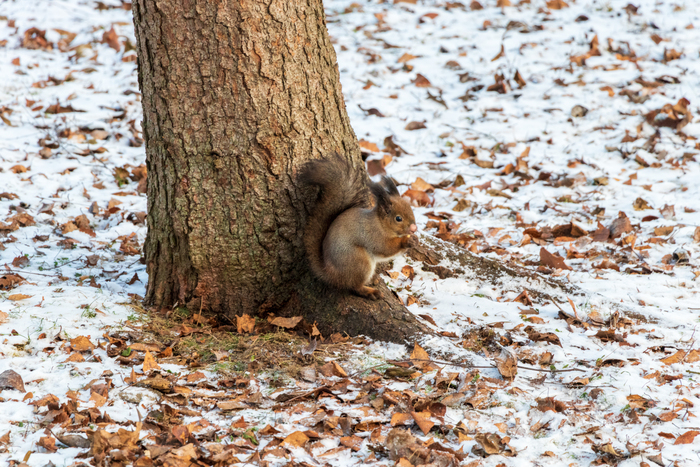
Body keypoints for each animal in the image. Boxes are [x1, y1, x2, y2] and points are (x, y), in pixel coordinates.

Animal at [300, 154, 418, 300]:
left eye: (411, 209)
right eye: (398, 218)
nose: (414, 228)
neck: (380, 224)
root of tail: (330, 274)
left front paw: (414, 240)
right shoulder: (373, 234)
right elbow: (385, 248)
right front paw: (407, 240)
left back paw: (374, 279)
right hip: (359, 261)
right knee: (354, 286)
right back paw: (370, 292)